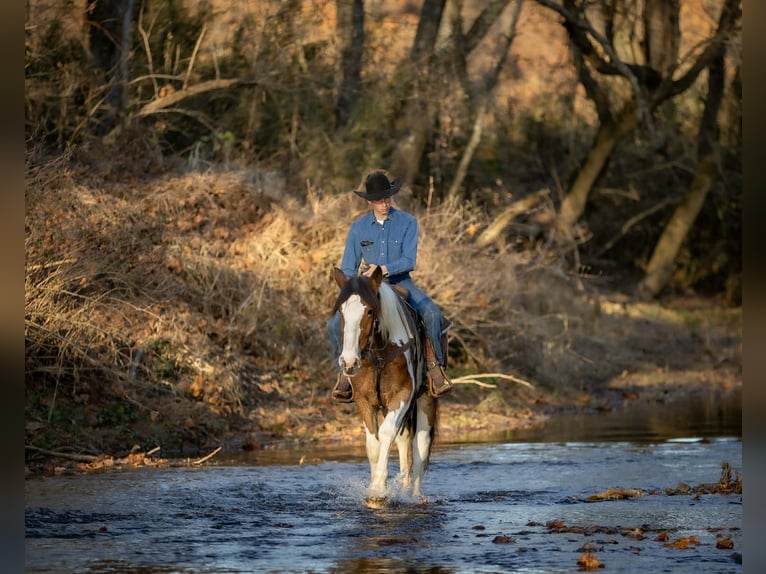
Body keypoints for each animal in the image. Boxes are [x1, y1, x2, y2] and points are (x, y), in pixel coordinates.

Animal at [330, 266, 438, 504]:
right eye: (341, 310)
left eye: (370, 311)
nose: (348, 362)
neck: (380, 353)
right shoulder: (364, 400)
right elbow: (374, 444)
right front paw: (373, 488)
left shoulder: (402, 396)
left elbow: (387, 433)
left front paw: (379, 489)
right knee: (404, 442)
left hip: (425, 400)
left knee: (420, 445)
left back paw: (414, 495)